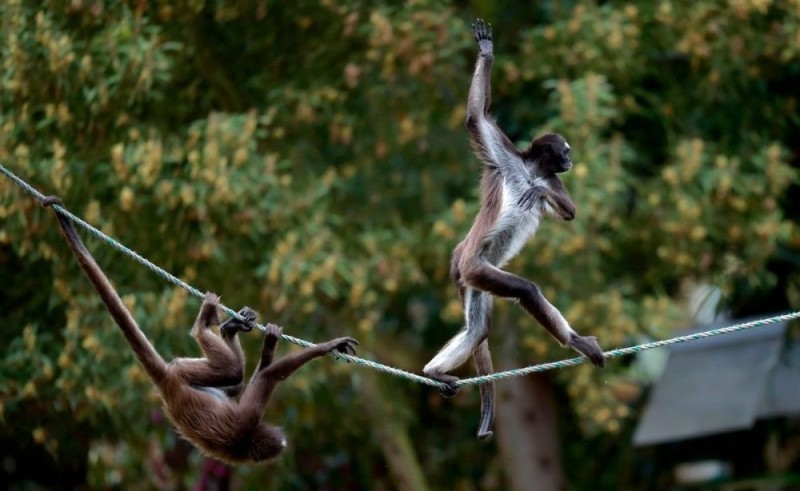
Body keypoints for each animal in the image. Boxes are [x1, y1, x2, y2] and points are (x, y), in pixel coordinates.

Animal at [42, 197, 356, 466]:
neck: (245, 445)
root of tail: (167, 384)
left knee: (235, 380)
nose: (285, 439)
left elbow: (259, 378)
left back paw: (222, 328)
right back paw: (209, 324)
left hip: (184, 372)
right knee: (235, 374)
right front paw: (324, 345)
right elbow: (270, 375)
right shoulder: (247, 423)